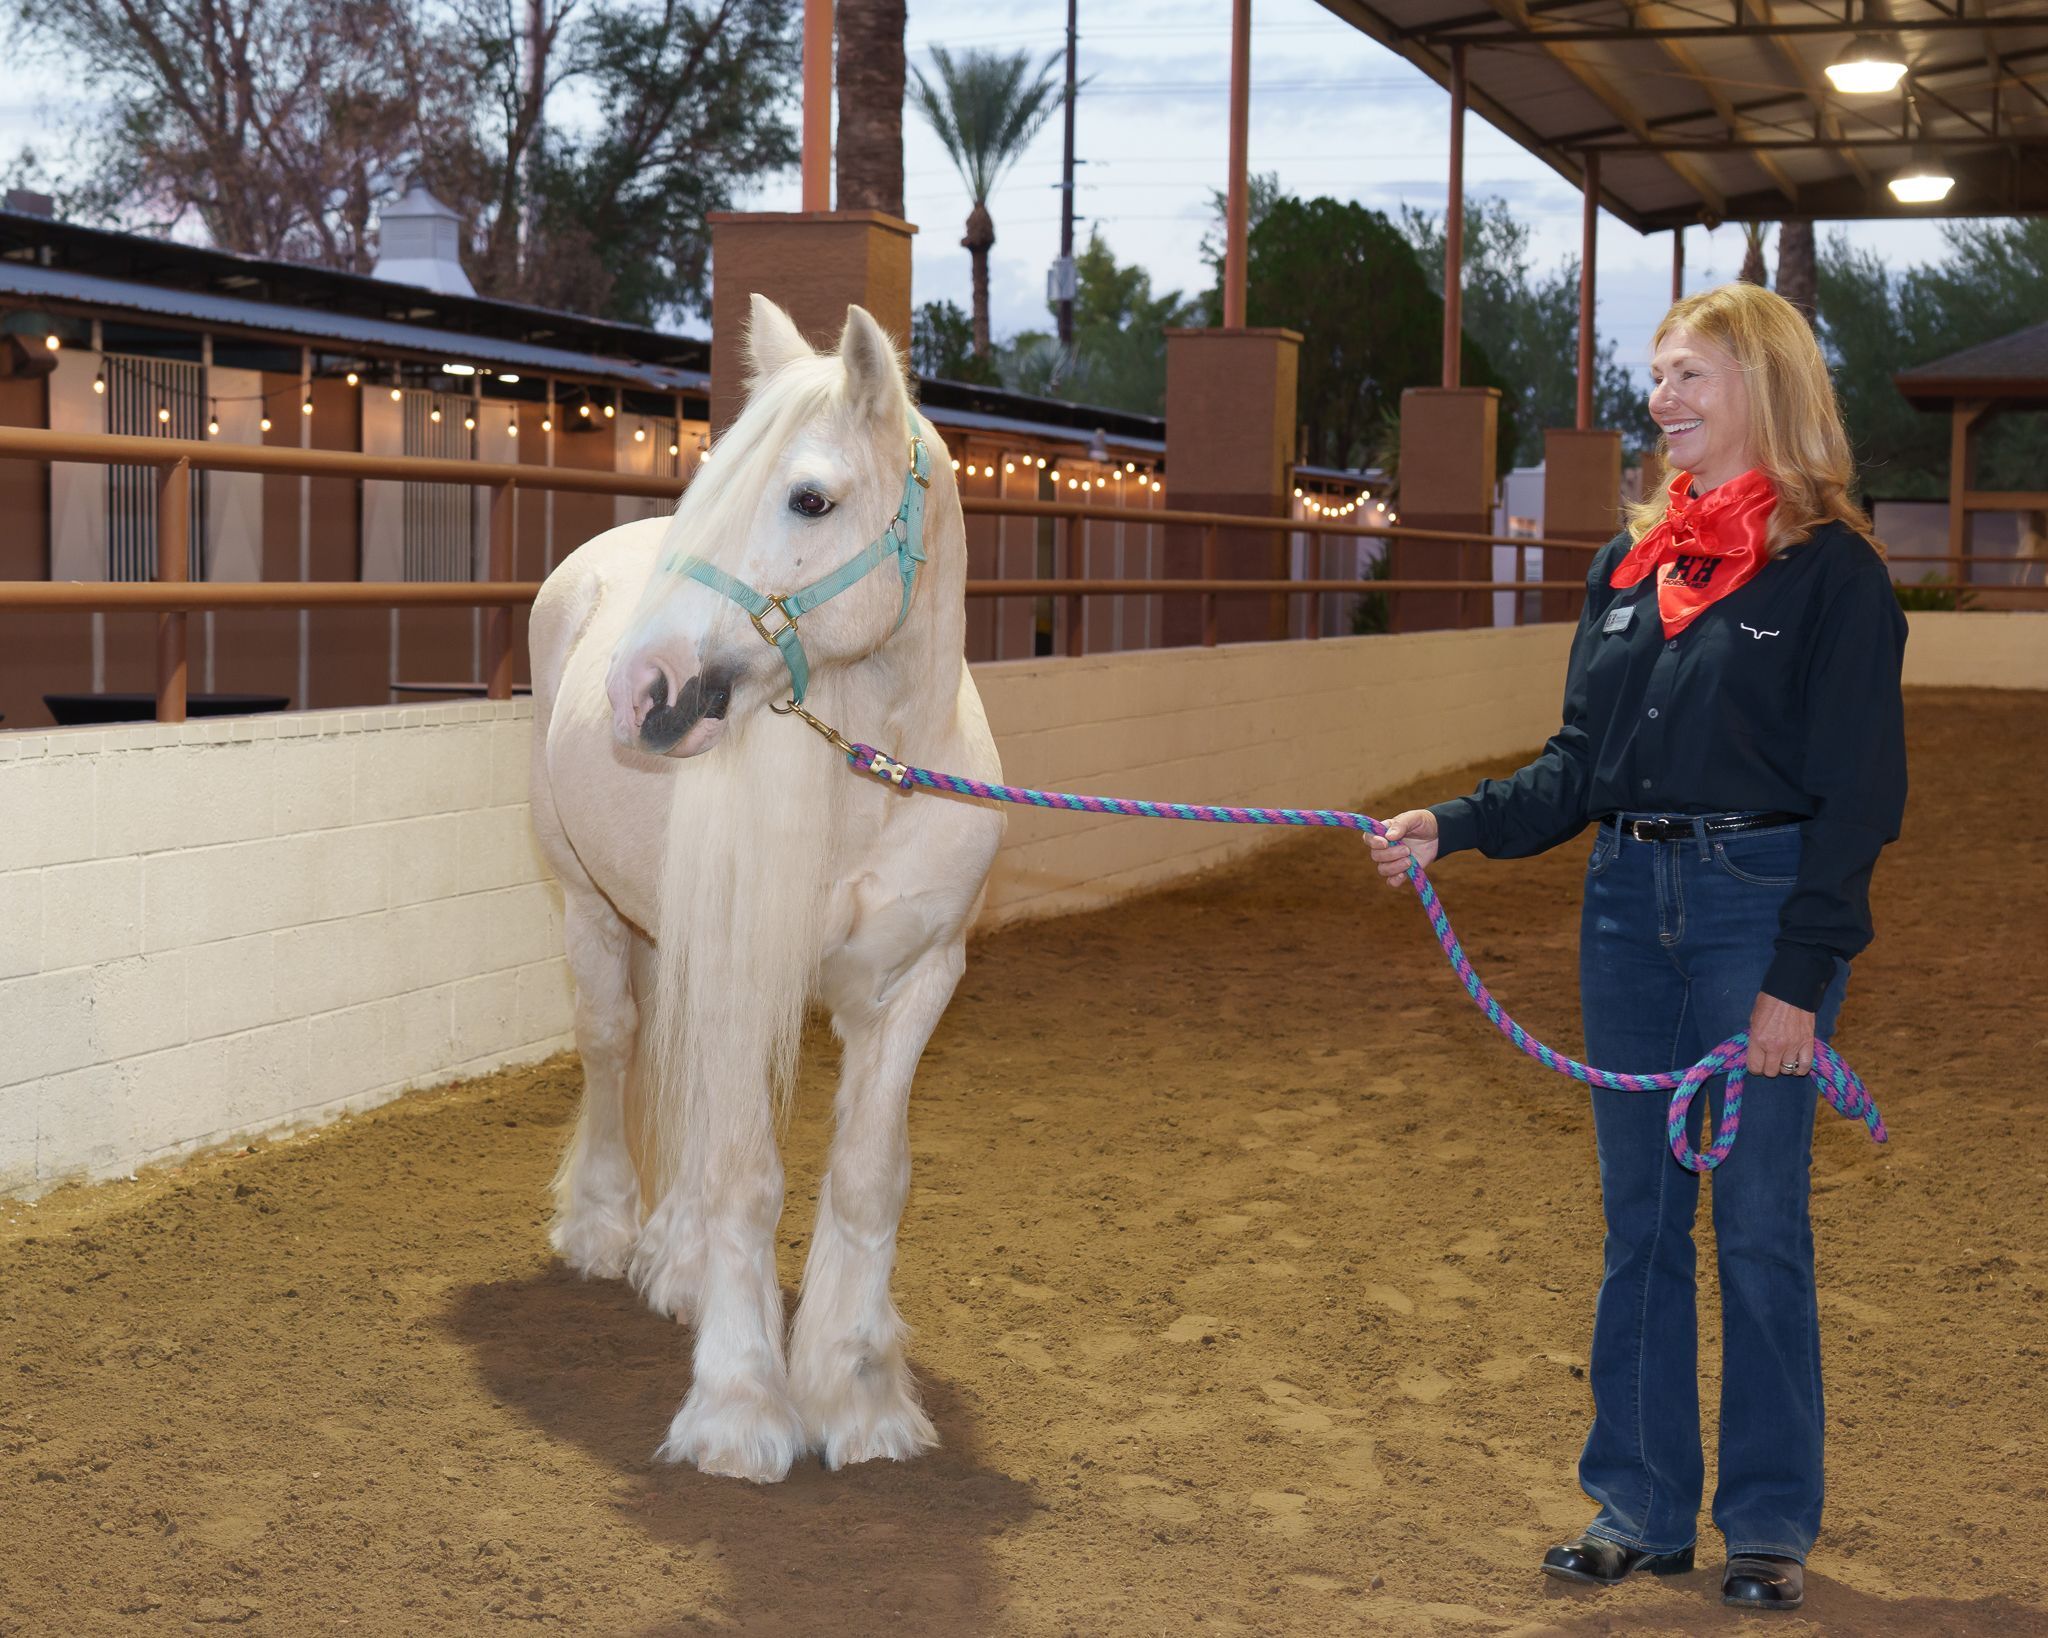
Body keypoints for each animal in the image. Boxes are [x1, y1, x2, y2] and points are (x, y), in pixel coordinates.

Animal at [526, 296, 1004, 1482]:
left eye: (810, 498)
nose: (638, 689)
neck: (875, 779)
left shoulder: (915, 985)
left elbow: (867, 1177)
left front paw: (855, 1394)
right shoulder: (746, 974)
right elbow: (749, 1176)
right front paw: (740, 1410)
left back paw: (674, 1263)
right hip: (588, 905)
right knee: (613, 1046)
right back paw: (606, 1231)